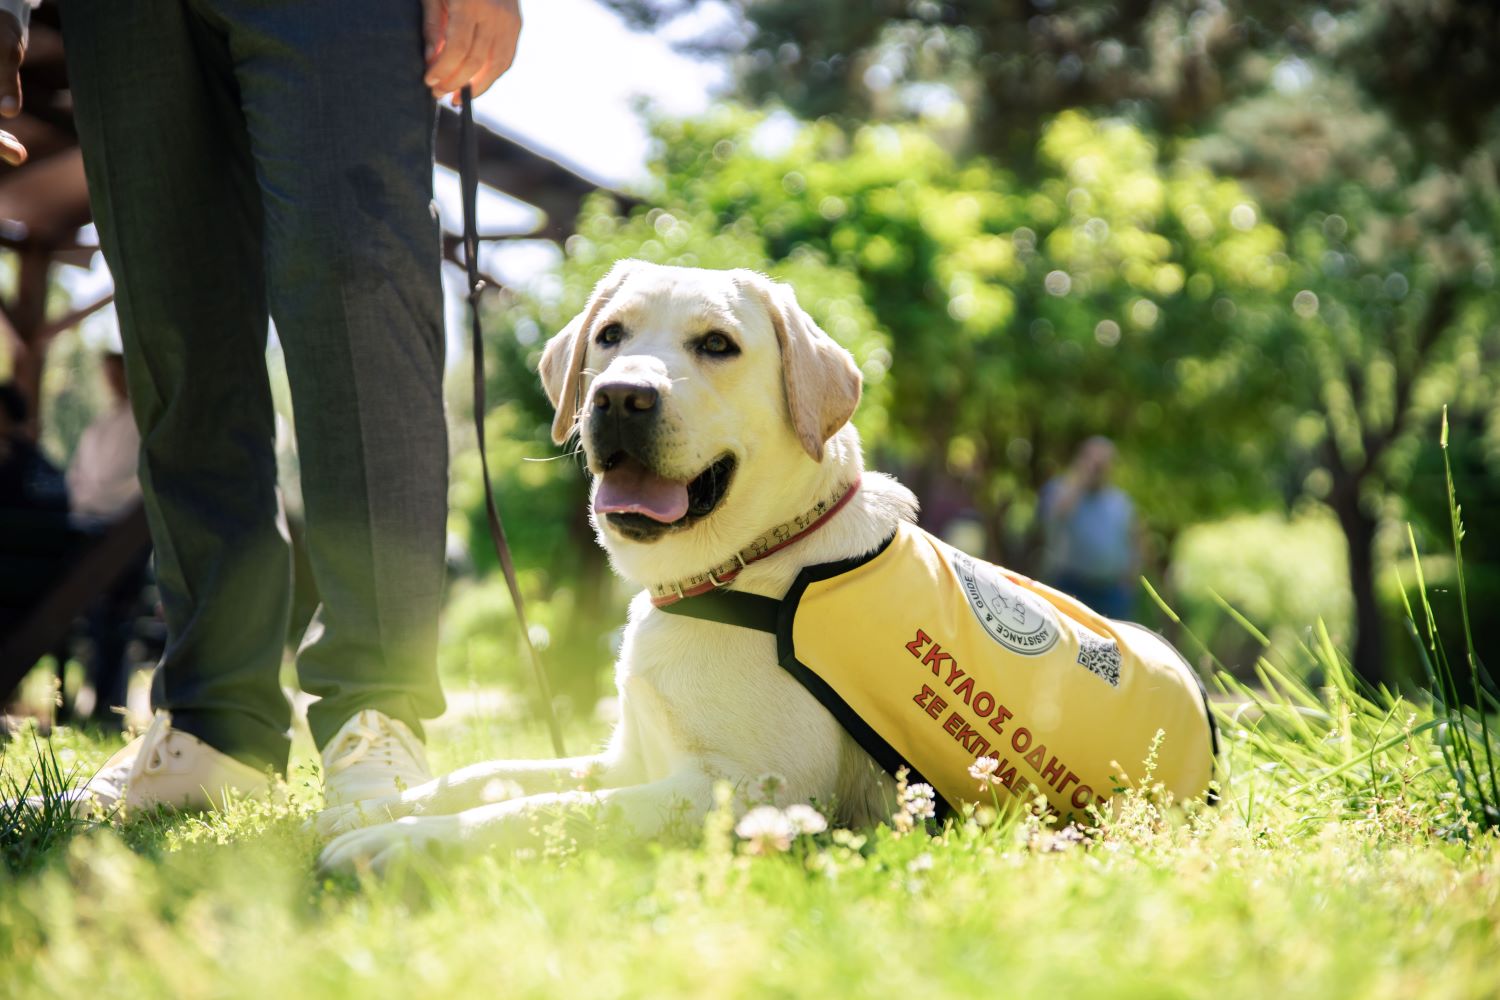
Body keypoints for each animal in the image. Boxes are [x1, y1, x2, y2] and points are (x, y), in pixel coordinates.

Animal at [321, 263, 906, 875]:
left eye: (717, 344)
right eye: (609, 335)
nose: (622, 396)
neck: (740, 566)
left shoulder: (755, 794)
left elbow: (549, 810)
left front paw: (405, 842)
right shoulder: (630, 758)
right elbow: (490, 774)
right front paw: (367, 811)